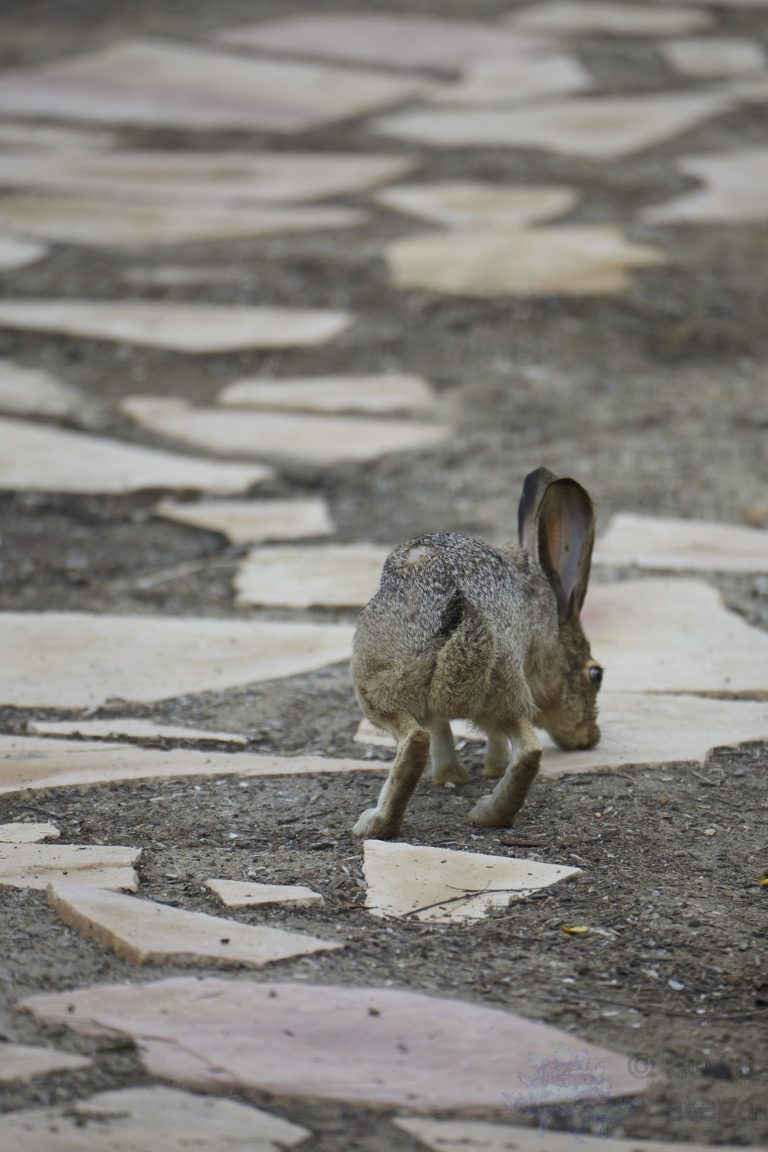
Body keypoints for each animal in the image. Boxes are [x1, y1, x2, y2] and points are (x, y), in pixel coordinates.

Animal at [351, 466, 603, 839]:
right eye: (595, 675)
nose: (590, 737)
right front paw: (464, 775)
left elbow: (437, 731)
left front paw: (451, 777)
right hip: (504, 686)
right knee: (530, 751)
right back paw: (487, 814)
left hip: (374, 690)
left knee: (414, 742)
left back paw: (374, 824)